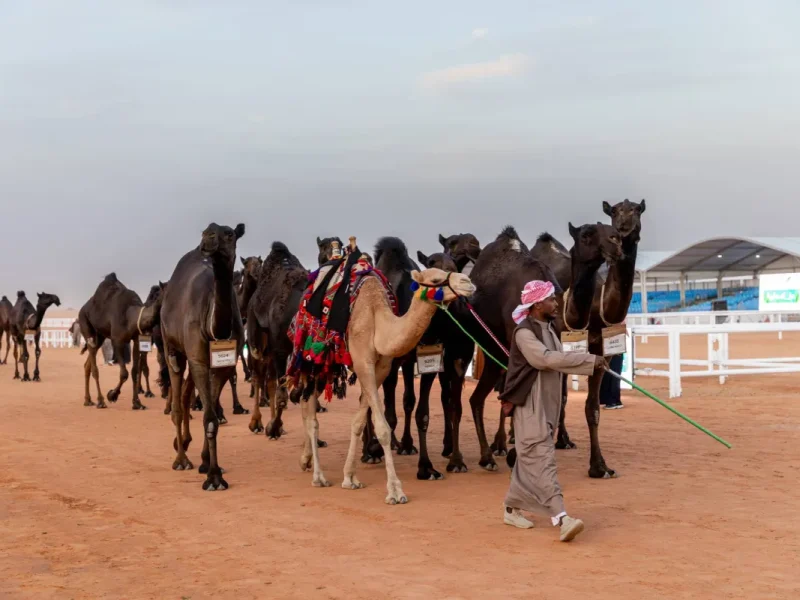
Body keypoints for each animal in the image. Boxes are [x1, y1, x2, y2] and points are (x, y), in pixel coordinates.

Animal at [78, 276, 166, 408]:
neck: (131, 315)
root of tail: (82, 309)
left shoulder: (136, 340)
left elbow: (134, 371)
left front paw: (137, 403)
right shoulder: (117, 341)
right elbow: (124, 373)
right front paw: (112, 395)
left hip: (100, 337)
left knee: (87, 365)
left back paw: (88, 400)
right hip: (85, 325)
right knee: (94, 367)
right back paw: (101, 401)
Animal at [163, 223, 247, 490]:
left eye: (230, 234)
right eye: (207, 230)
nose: (207, 238)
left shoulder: (223, 364)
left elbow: (212, 416)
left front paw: (209, 464)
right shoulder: (199, 359)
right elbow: (209, 416)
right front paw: (213, 478)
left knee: (186, 395)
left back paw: (185, 446)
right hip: (171, 347)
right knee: (177, 398)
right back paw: (181, 459)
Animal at [294, 250, 476, 506]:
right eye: (435, 279)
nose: (467, 282)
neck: (378, 320)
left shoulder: (381, 368)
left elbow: (358, 421)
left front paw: (350, 478)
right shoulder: (364, 363)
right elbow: (382, 428)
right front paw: (395, 491)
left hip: (327, 366)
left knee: (305, 403)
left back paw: (306, 460)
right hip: (312, 359)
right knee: (311, 414)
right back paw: (318, 476)